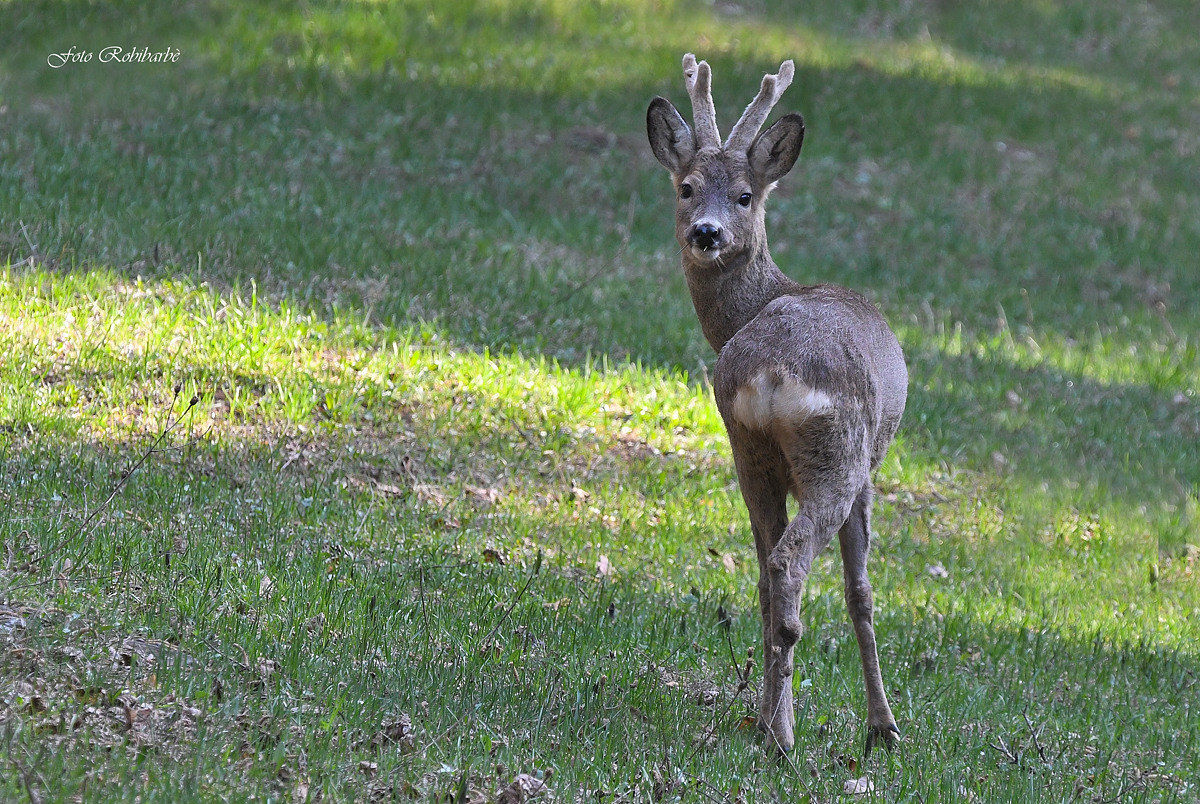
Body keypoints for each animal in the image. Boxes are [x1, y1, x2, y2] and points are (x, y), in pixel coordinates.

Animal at [646, 54, 907, 756]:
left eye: (743, 195)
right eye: (687, 188)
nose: (707, 233)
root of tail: (770, 373)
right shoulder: (867, 472)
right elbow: (861, 593)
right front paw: (883, 727)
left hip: (749, 454)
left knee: (766, 579)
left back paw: (765, 720)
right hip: (834, 459)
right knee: (790, 568)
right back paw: (785, 737)